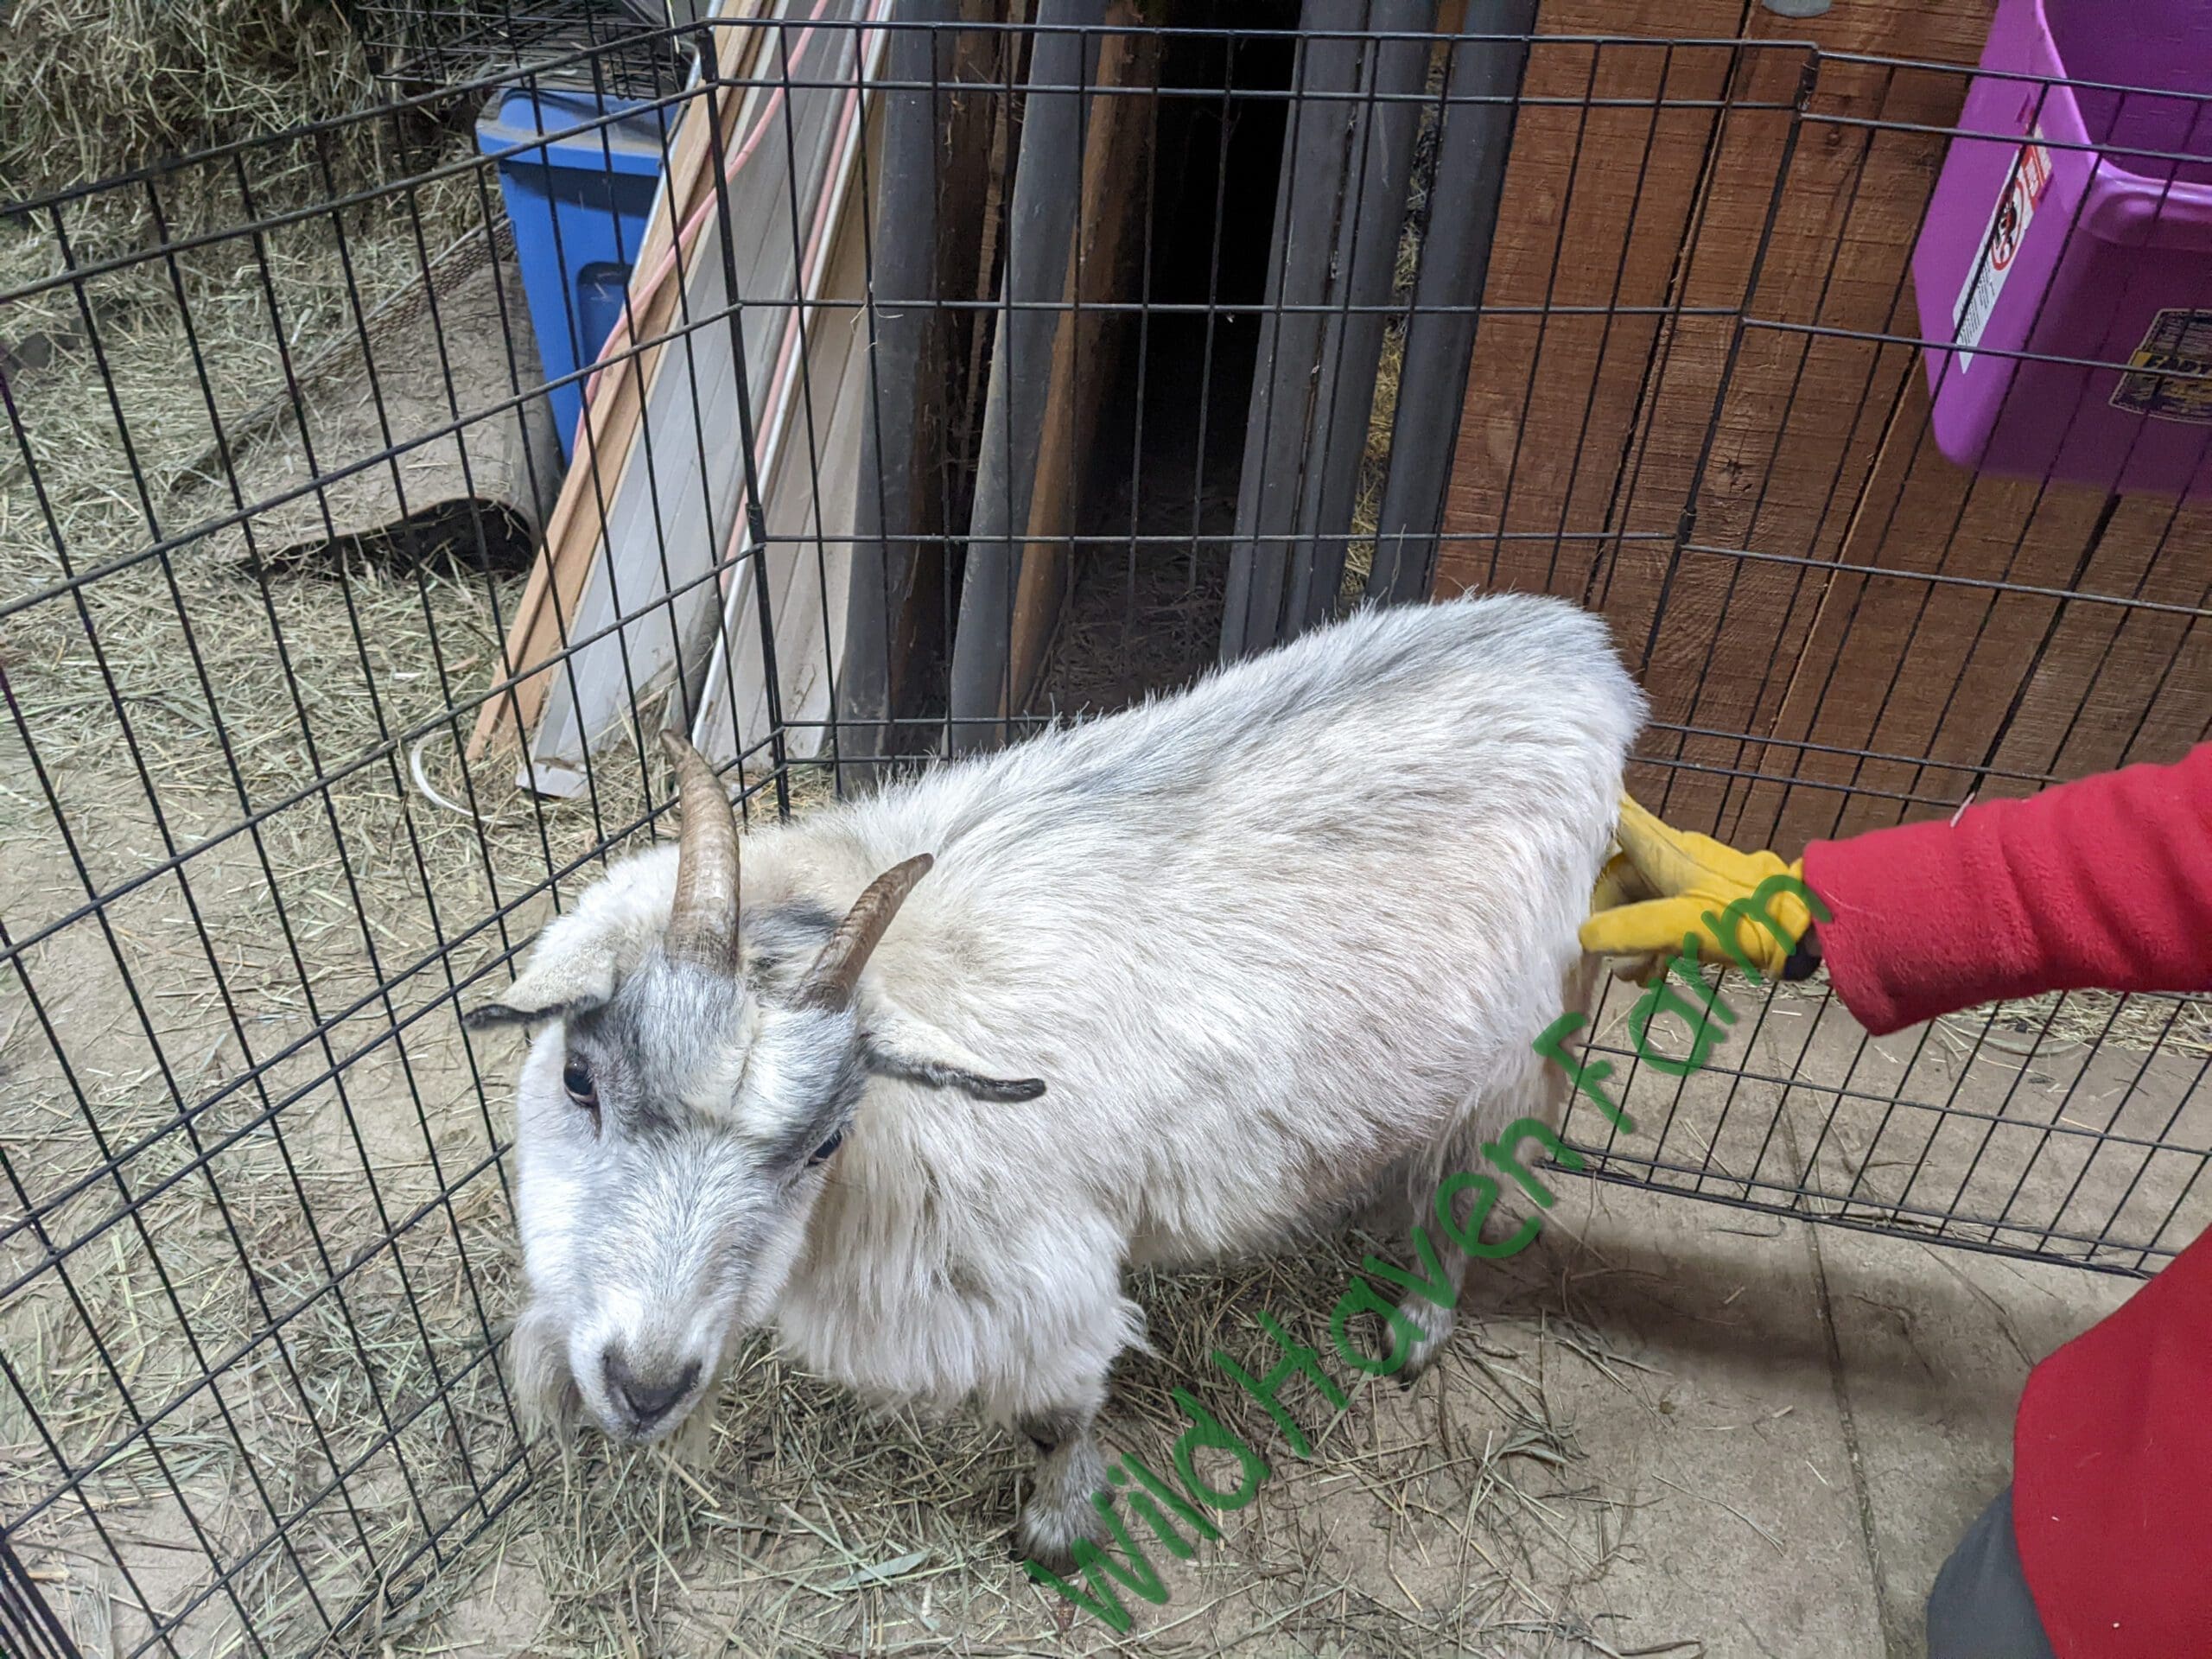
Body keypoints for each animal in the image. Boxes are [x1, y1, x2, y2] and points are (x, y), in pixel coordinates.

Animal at [466, 591, 1645, 1565]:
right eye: (579, 1081)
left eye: (823, 1142)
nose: (645, 1386)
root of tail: (1580, 651)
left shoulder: (1041, 1277)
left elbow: (1053, 1413)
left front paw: (1059, 1529)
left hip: (1514, 1045)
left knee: (1467, 1185)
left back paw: (1413, 1331)